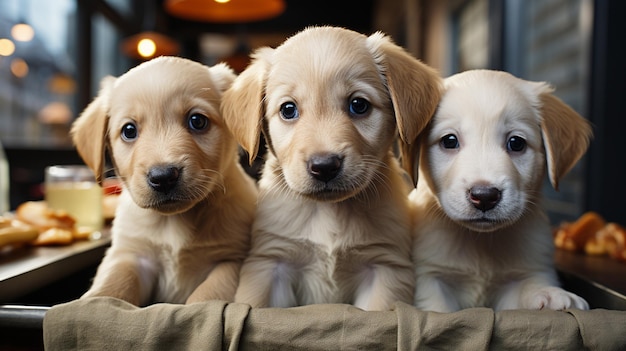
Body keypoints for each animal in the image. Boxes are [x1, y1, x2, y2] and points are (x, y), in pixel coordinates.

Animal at [72, 56, 258, 306]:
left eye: (197, 121)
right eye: (129, 130)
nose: (163, 177)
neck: (173, 222)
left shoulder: (232, 260)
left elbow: (206, 296)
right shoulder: (131, 255)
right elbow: (112, 286)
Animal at [222, 26, 442, 310]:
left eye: (359, 105)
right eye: (288, 109)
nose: (324, 166)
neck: (329, 211)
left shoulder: (385, 267)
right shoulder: (269, 262)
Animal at [402, 70, 592, 312]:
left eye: (516, 143)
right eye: (450, 140)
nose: (484, 197)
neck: (481, 243)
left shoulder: (530, 271)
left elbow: (529, 287)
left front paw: (551, 295)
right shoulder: (431, 277)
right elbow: (439, 308)